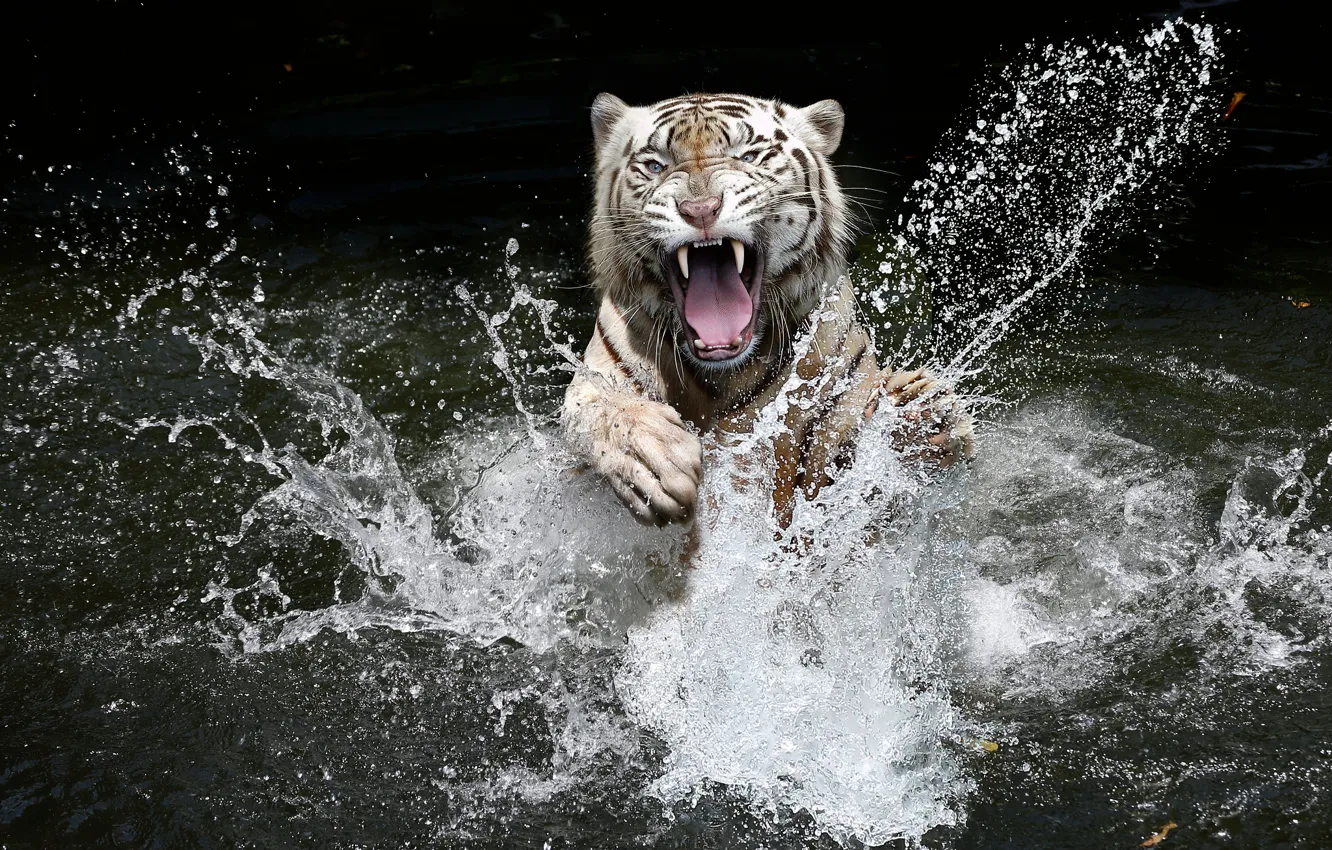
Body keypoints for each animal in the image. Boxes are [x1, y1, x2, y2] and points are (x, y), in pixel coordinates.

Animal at [561, 92, 972, 531]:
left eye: (750, 156)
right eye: (656, 165)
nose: (700, 208)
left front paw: (923, 417)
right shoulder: (596, 379)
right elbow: (603, 412)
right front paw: (654, 461)